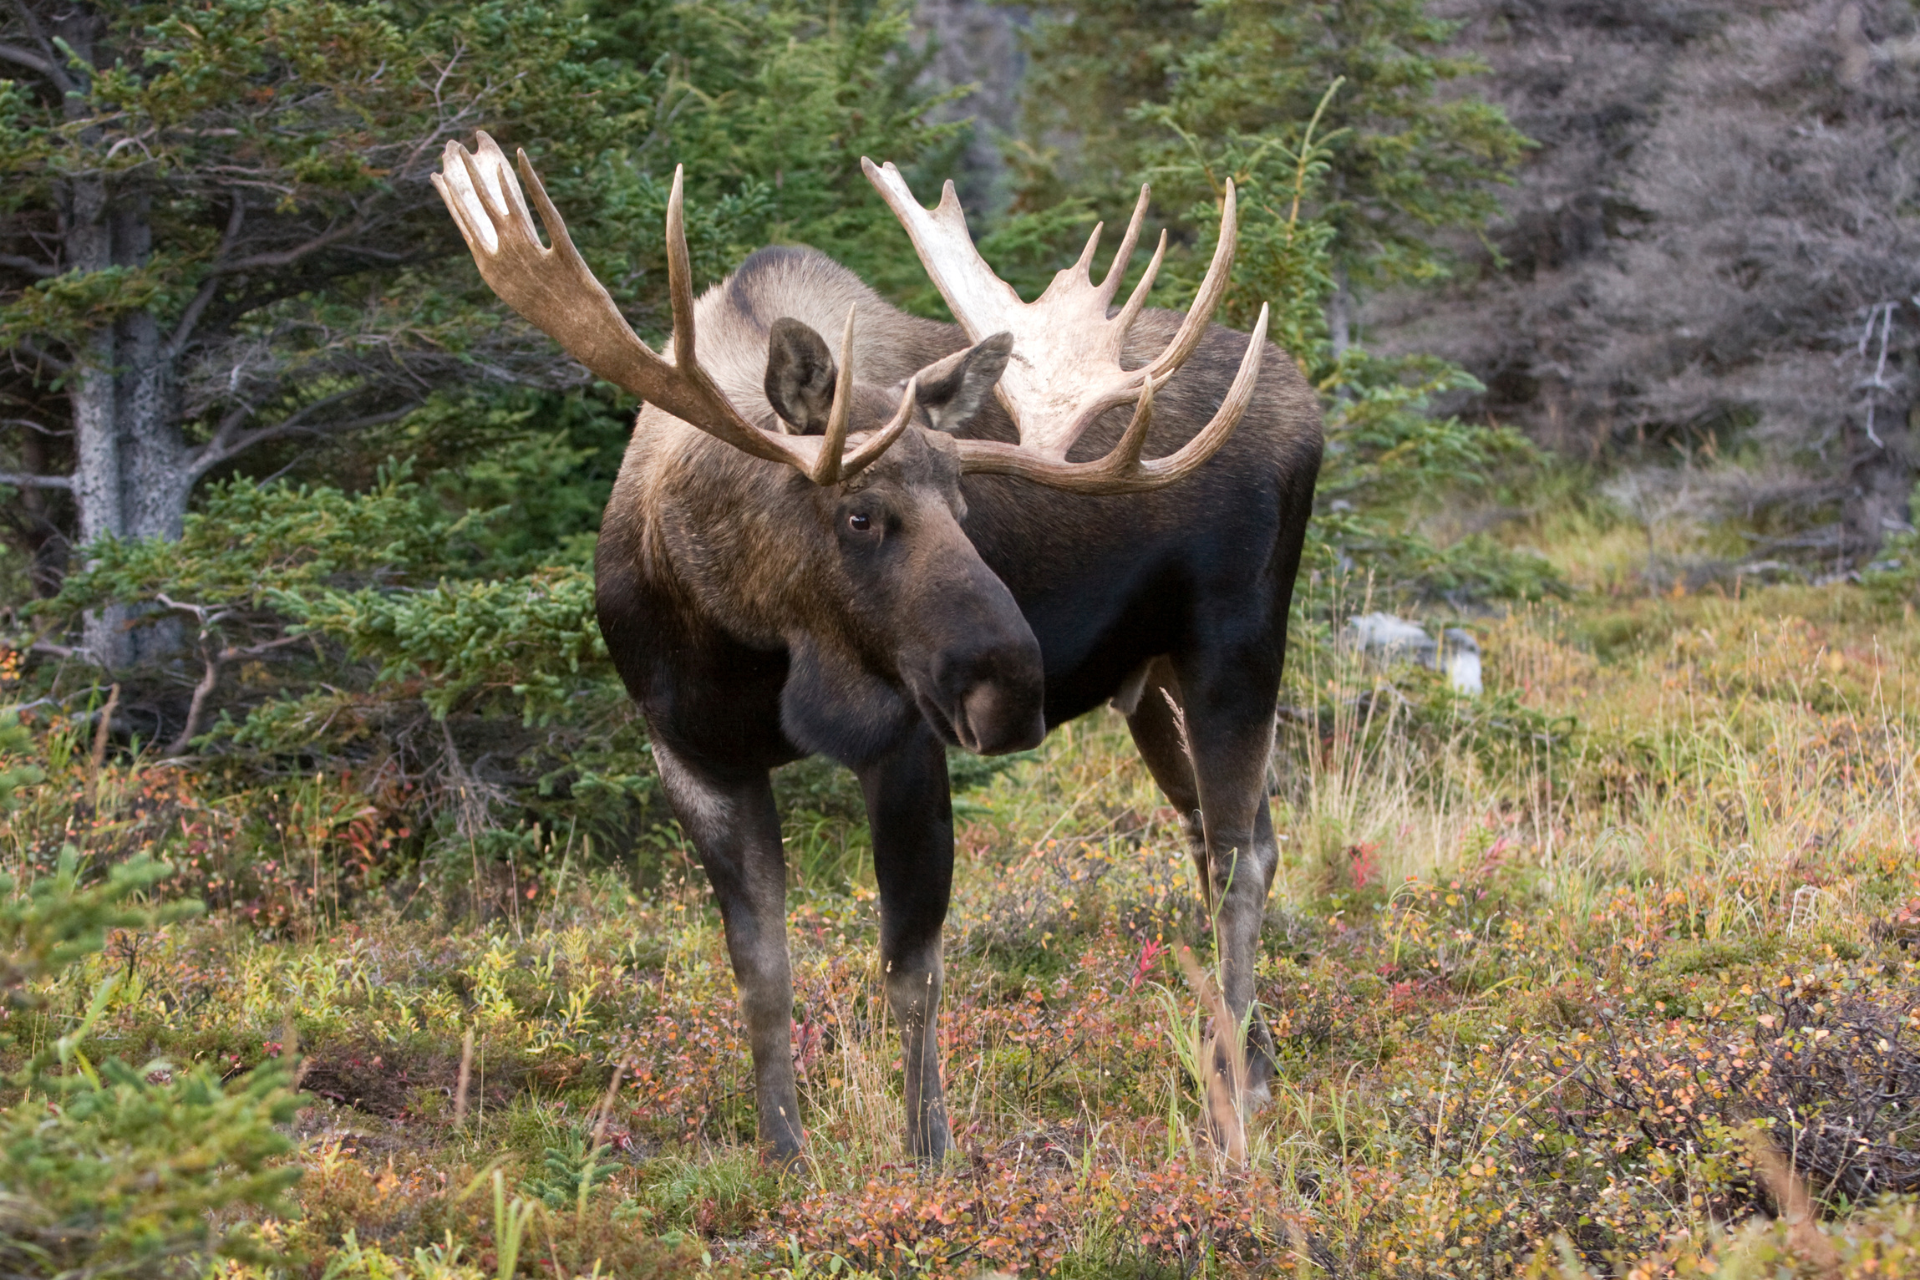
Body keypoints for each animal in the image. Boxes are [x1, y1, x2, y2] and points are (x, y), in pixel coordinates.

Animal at [435, 133, 1323, 1162]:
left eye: (964, 505)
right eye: (859, 513)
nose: (1013, 687)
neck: (743, 642)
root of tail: (1305, 398)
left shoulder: (903, 740)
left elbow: (911, 967)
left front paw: (927, 1149)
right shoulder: (691, 754)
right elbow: (760, 970)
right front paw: (783, 1148)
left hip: (1237, 646)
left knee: (1237, 862)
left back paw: (1232, 1104)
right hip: (1151, 682)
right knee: (1227, 839)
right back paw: (1252, 1064)